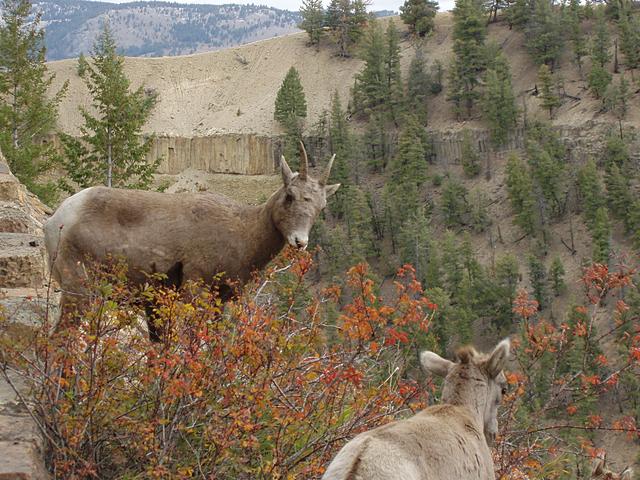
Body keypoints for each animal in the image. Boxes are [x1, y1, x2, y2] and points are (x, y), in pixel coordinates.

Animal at [45, 142, 340, 342]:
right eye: (290, 195)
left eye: (322, 206)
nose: (300, 241)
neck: (242, 233)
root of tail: (56, 221)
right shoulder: (196, 290)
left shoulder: (215, 302)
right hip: (79, 290)